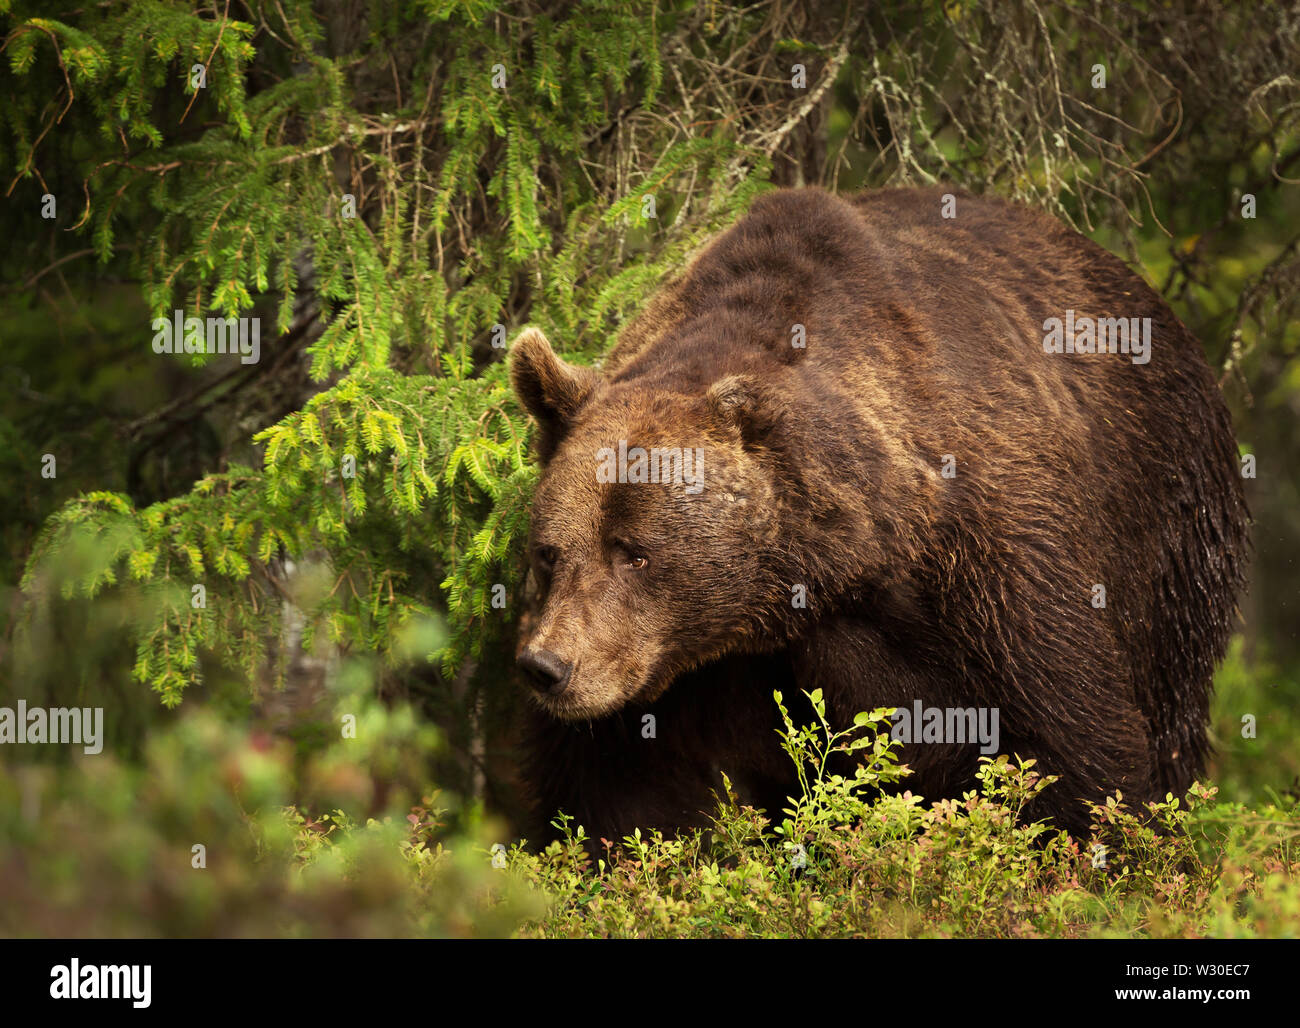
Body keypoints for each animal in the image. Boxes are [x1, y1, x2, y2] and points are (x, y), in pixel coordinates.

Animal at [509, 185, 1249, 847]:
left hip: (1171, 531)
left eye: (636, 552)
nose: (549, 667)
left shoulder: (996, 561)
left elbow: (1074, 740)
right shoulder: (685, 678)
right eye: (549, 551)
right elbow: (617, 793)